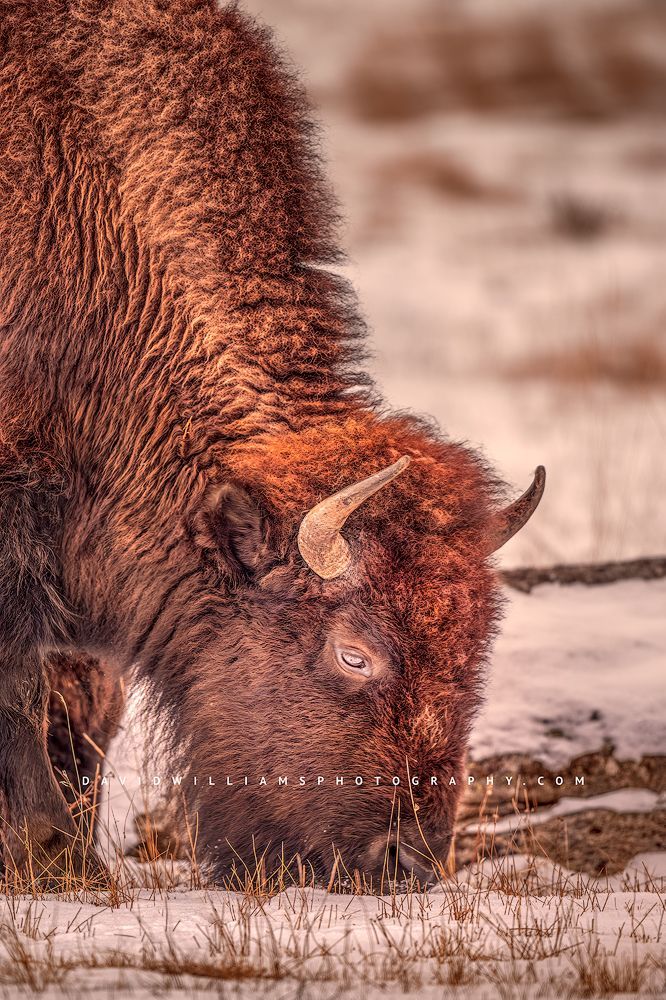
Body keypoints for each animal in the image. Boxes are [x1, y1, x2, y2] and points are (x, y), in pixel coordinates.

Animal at [0, 0, 544, 885]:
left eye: (476, 646)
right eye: (354, 654)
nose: (407, 861)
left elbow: (86, 714)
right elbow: (22, 691)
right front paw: (55, 858)